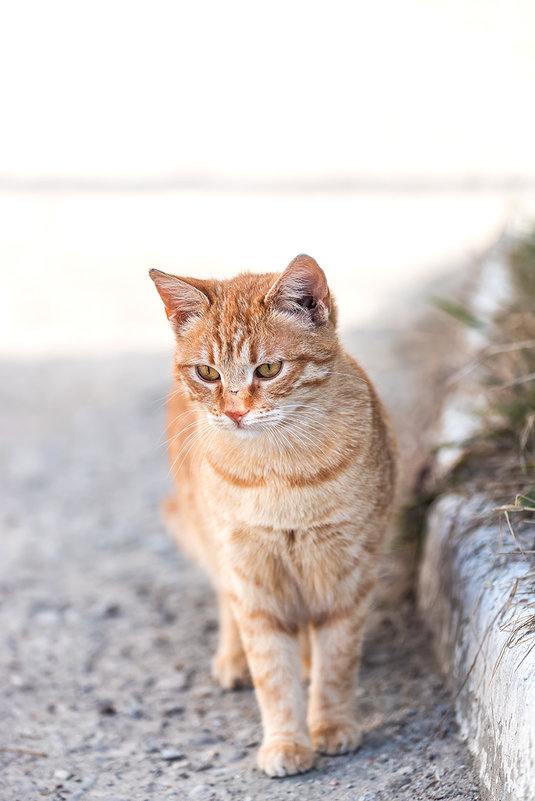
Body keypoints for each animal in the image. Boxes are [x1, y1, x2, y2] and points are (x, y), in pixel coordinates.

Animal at [149, 255, 400, 776]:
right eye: (207, 372)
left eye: (267, 369)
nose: (235, 412)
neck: (280, 473)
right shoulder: (253, 578)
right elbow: (271, 672)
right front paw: (285, 741)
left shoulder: (347, 575)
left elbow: (337, 662)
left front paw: (330, 724)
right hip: (207, 539)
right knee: (225, 599)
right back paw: (233, 659)